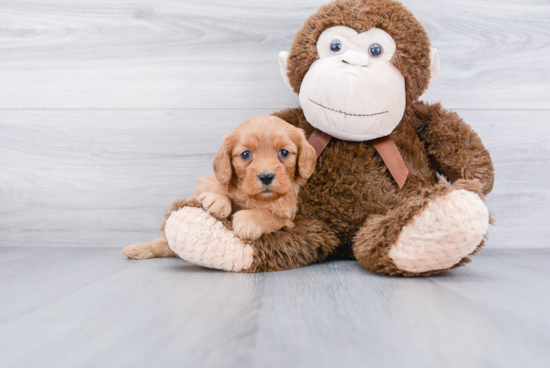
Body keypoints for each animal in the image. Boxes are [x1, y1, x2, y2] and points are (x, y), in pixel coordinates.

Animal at [123, 115, 316, 258]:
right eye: (245, 154)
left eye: (284, 152)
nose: (266, 176)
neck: (252, 197)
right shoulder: (208, 182)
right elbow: (217, 189)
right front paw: (218, 200)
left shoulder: (288, 220)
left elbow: (270, 216)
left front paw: (249, 220)